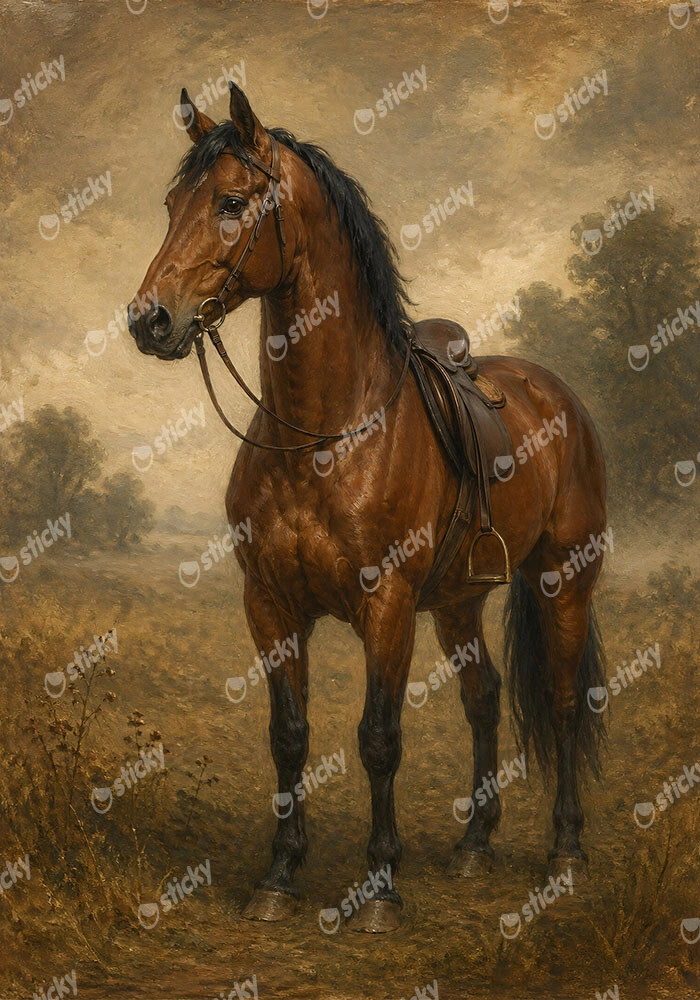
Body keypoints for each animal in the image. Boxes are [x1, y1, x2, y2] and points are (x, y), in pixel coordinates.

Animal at [128, 82, 608, 933]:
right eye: (170, 204)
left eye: (231, 202)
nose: (149, 319)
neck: (322, 433)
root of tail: (561, 399)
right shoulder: (270, 605)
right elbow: (289, 735)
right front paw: (280, 875)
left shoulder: (385, 607)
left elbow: (379, 738)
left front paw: (381, 886)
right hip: (458, 601)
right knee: (484, 699)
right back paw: (474, 845)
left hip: (564, 582)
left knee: (559, 704)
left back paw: (566, 851)